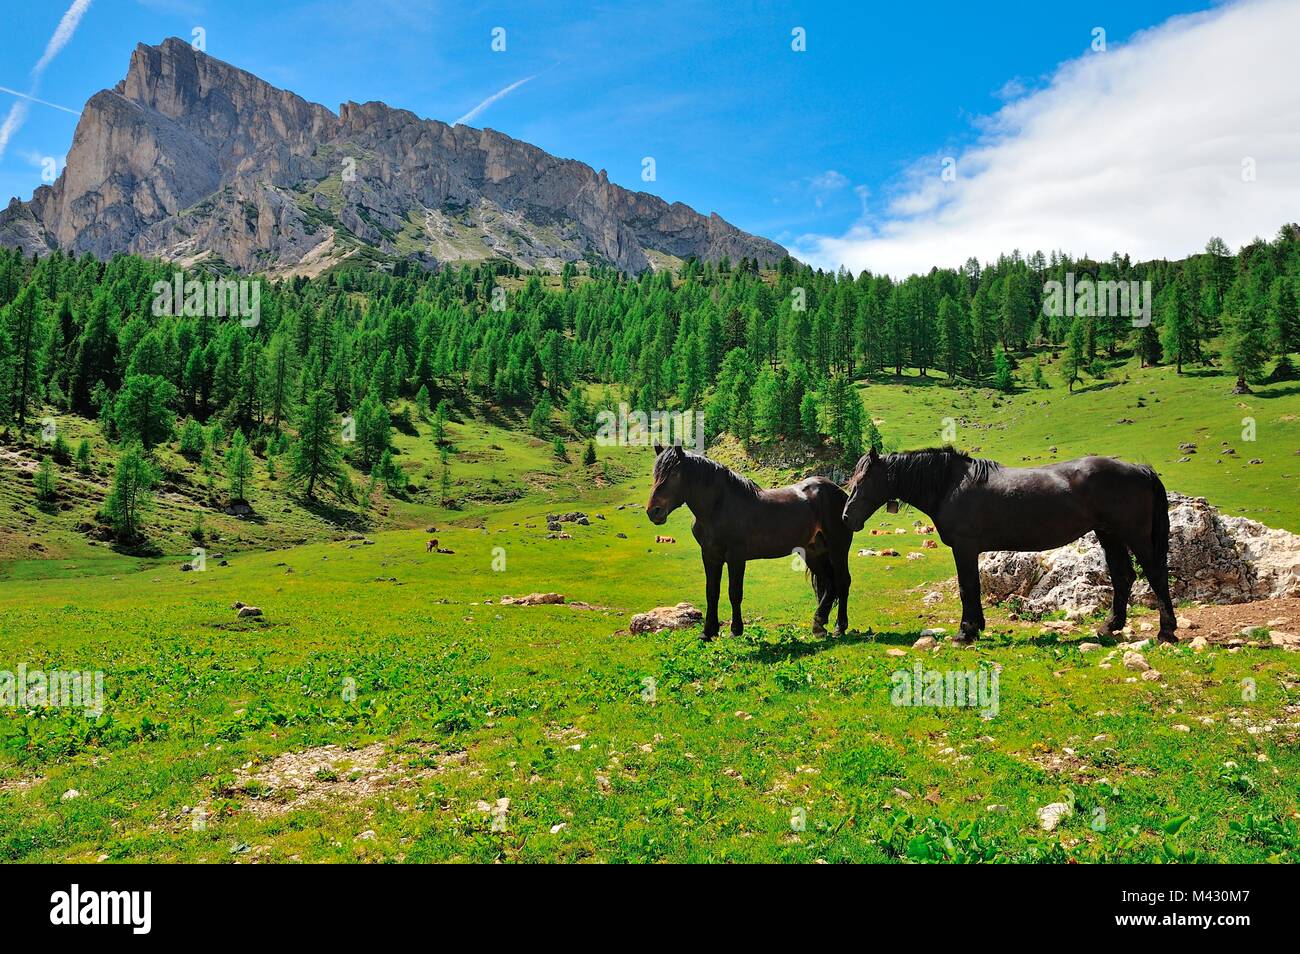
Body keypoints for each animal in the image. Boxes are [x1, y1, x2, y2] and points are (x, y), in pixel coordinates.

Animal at [647, 447, 852, 642]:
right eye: (656, 473)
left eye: (674, 473)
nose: (653, 511)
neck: (719, 507)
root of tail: (840, 493)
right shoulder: (710, 556)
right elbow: (711, 592)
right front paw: (707, 632)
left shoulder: (736, 557)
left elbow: (734, 593)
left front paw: (735, 630)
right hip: (813, 552)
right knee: (830, 584)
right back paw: (819, 625)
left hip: (838, 547)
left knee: (842, 581)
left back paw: (839, 627)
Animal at [842, 449, 1180, 647]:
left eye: (864, 479)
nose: (846, 517)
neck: (950, 485)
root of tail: (1141, 470)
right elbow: (973, 588)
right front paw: (976, 627)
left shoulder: (964, 547)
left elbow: (967, 587)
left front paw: (965, 632)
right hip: (1109, 534)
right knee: (1123, 577)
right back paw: (1110, 627)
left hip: (1134, 535)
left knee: (1156, 575)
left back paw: (1166, 632)